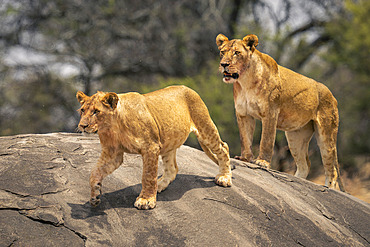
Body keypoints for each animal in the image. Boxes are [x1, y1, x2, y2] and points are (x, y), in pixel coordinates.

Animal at [75, 86, 231, 209]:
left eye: (96, 111)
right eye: (82, 110)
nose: (82, 125)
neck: (113, 126)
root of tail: (188, 88)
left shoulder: (151, 147)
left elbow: (148, 175)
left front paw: (145, 200)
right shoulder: (113, 153)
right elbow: (95, 172)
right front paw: (95, 196)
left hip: (204, 127)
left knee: (224, 147)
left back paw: (224, 177)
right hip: (169, 142)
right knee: (172, 168)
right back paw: (160, 184)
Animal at [215, 33, 346, 191]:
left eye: (236, 53)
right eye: (222, 52)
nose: (224, 64)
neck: (245, 81)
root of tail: (333, 97)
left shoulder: (270, 112)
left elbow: (266, 139)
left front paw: (262, 162)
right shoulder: (243, 114)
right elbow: (245, 139)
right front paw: (245, 158)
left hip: (326, 135)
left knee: (332, 170)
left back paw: (329, 188)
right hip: (296, 137)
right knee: (305, 165)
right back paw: (295, 181)